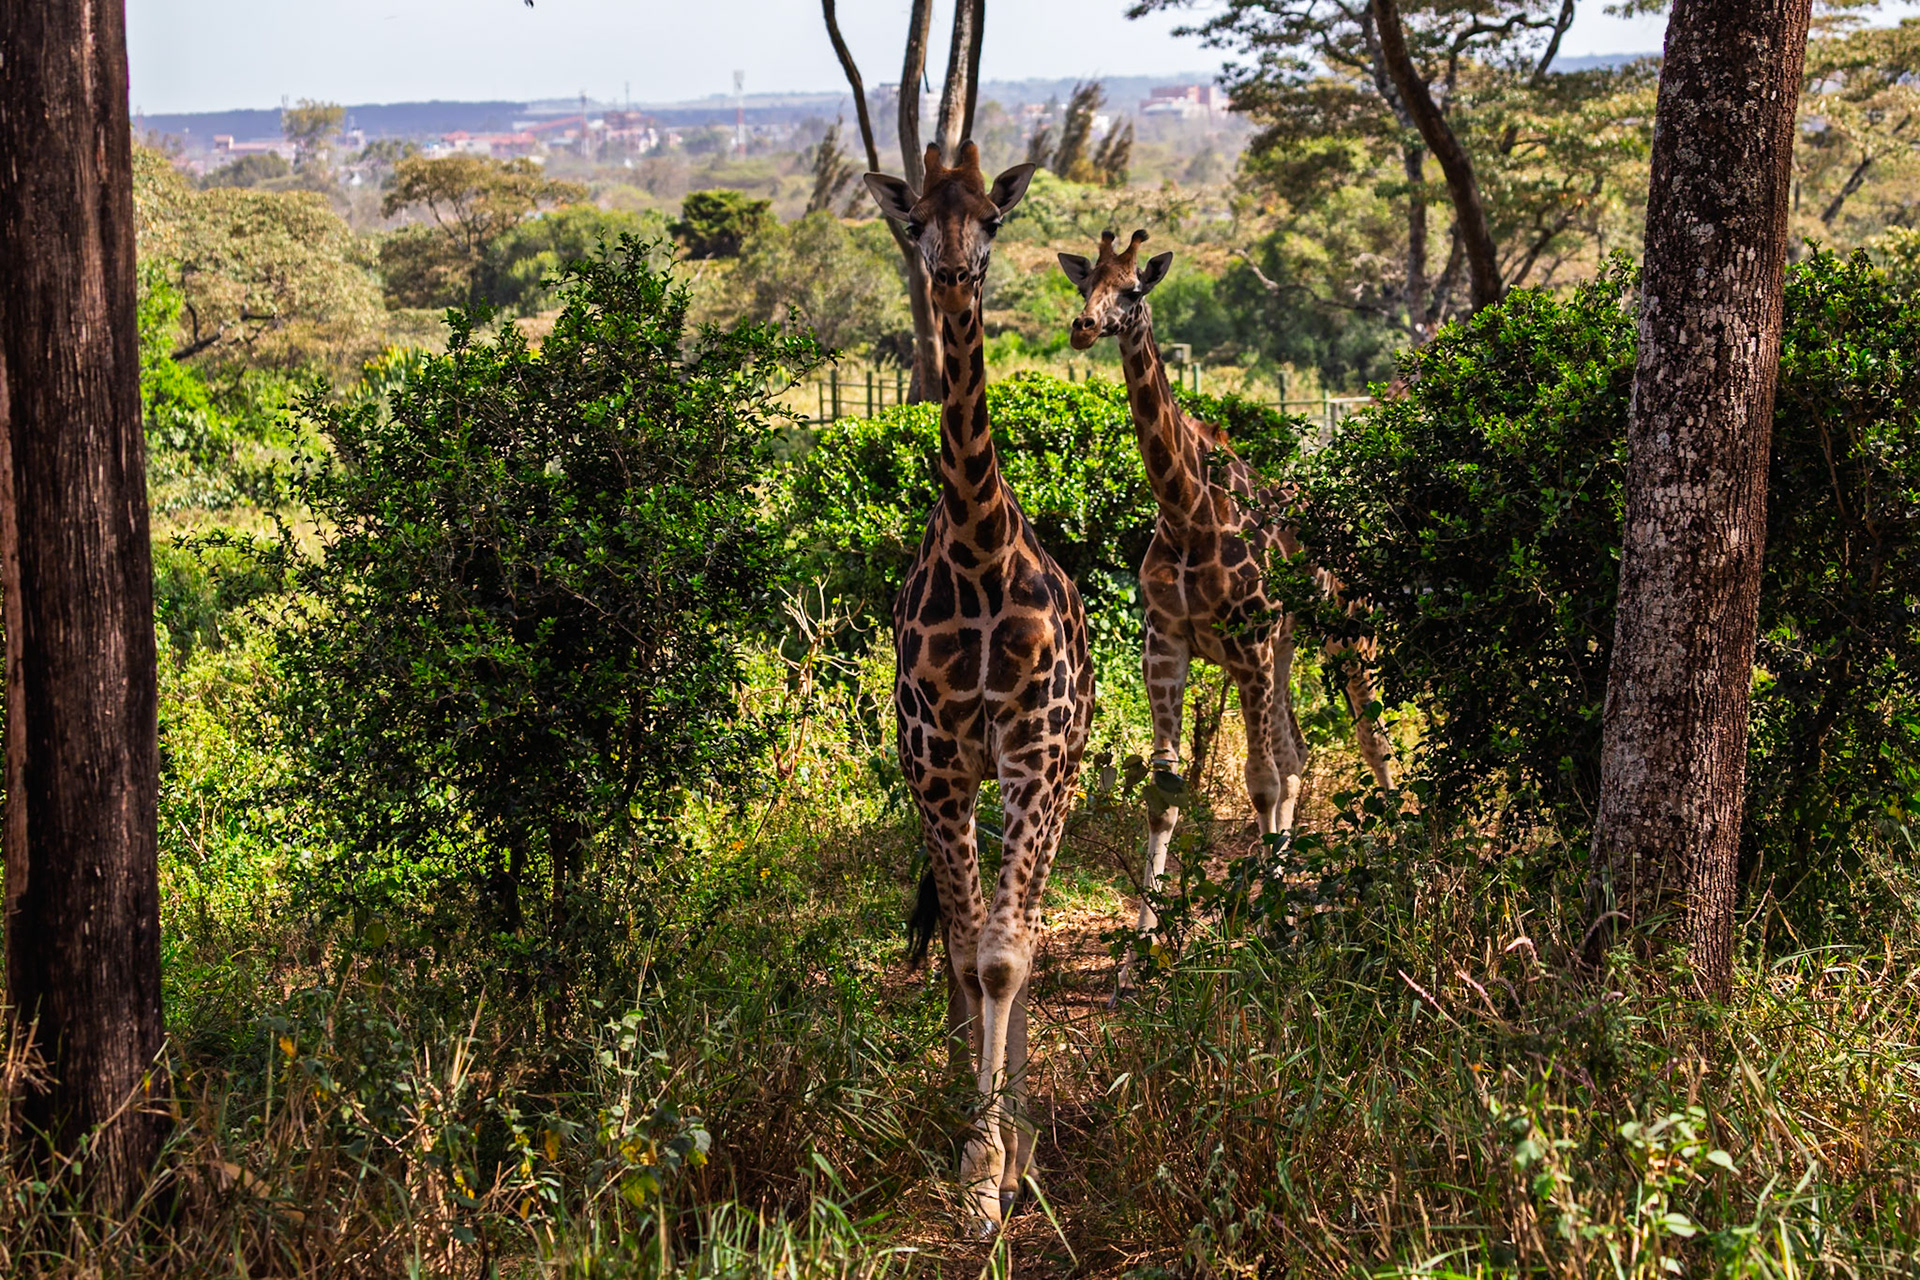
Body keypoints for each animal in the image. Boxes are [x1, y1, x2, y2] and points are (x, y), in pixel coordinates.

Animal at [1058, 230, 1395, 988]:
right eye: (1086, 282)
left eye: (1135, 289)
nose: (1084, 327)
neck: (1188, 513)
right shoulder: (1167, 643)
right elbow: (1167, 789)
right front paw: (1141, 951)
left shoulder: (1248, 645)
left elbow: (1260, 781)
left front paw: (1275, 928)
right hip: (1290, 646)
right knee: (1299, 752)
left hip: (1345, 634)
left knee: (1370, 742)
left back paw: (1395, 856)